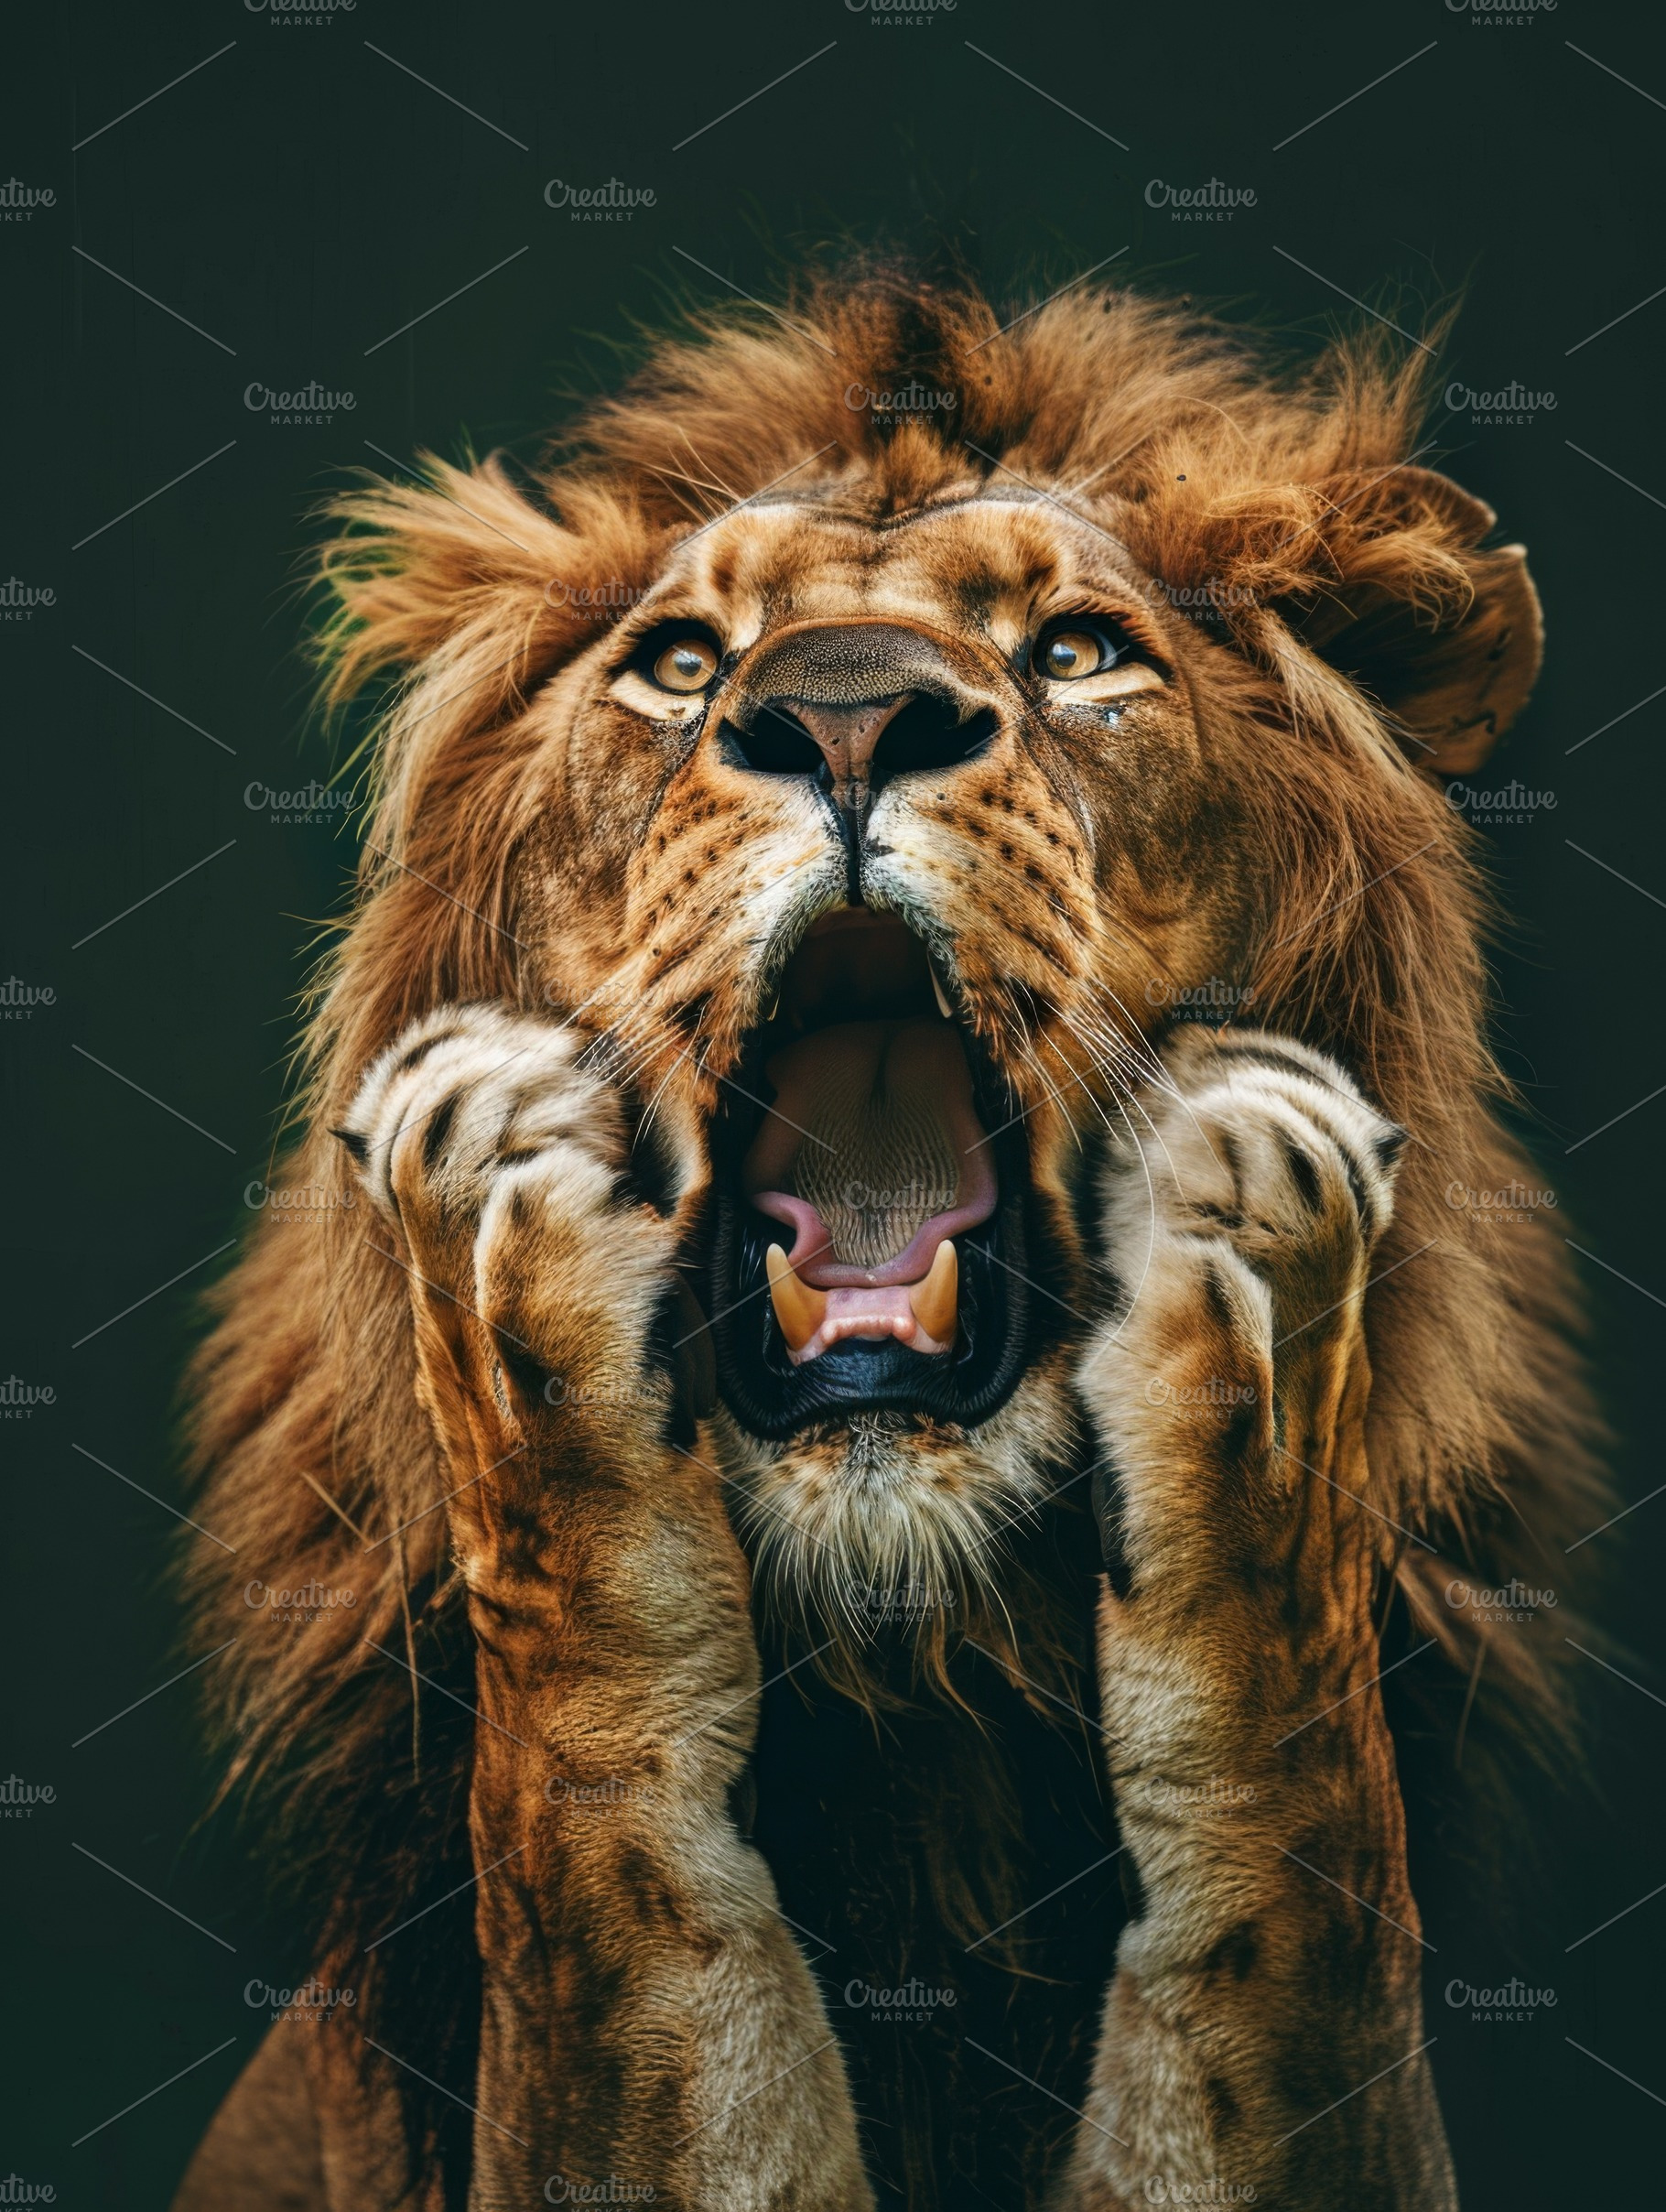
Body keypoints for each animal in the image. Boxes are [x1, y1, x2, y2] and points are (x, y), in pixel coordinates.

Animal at [173, 266, 1604, 2211]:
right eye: (683, 664)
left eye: (1076, 652)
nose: (846, 716)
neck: (911, 1676)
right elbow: (603, 1835)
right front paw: (498, 1215)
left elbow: (1296, 1848)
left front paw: (1251, 1241)